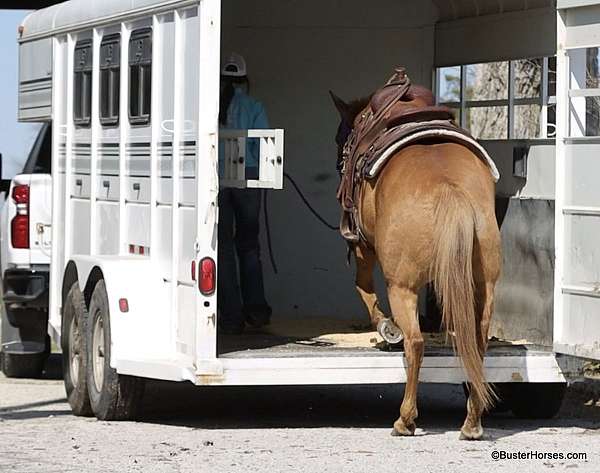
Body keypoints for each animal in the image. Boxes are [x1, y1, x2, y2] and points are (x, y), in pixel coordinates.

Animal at [332, 92, 502, 438]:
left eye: (340, 138)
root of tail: (450, 188)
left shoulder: (363, 247)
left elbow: (363, 287)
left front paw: (385, 327)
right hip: (485, 288)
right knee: (477, 345)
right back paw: (472, 422)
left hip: (402, 287)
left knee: (416, 343)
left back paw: (405, 419)